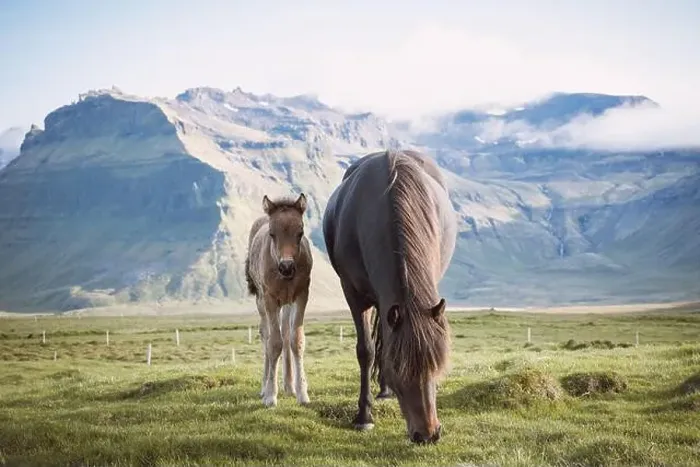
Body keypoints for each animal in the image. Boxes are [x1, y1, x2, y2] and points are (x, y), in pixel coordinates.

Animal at [245, 192, 313, 407]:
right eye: (272, 234)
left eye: (300, 232)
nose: (287, 267)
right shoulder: (270, 299)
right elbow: (274, 343)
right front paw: (270, 396)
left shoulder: (301, 295)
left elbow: (296, 340)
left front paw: (302, 393)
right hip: (261, 303)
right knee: (266, 334)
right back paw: (264, 386)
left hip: (287, 303)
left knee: (285, 332)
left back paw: (289, 386)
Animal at [322, 149, 458, 444]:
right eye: (401, 368)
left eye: (437, 365)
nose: (428, 434)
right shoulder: (353, 293)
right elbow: (367, 351)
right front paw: (364, 416)